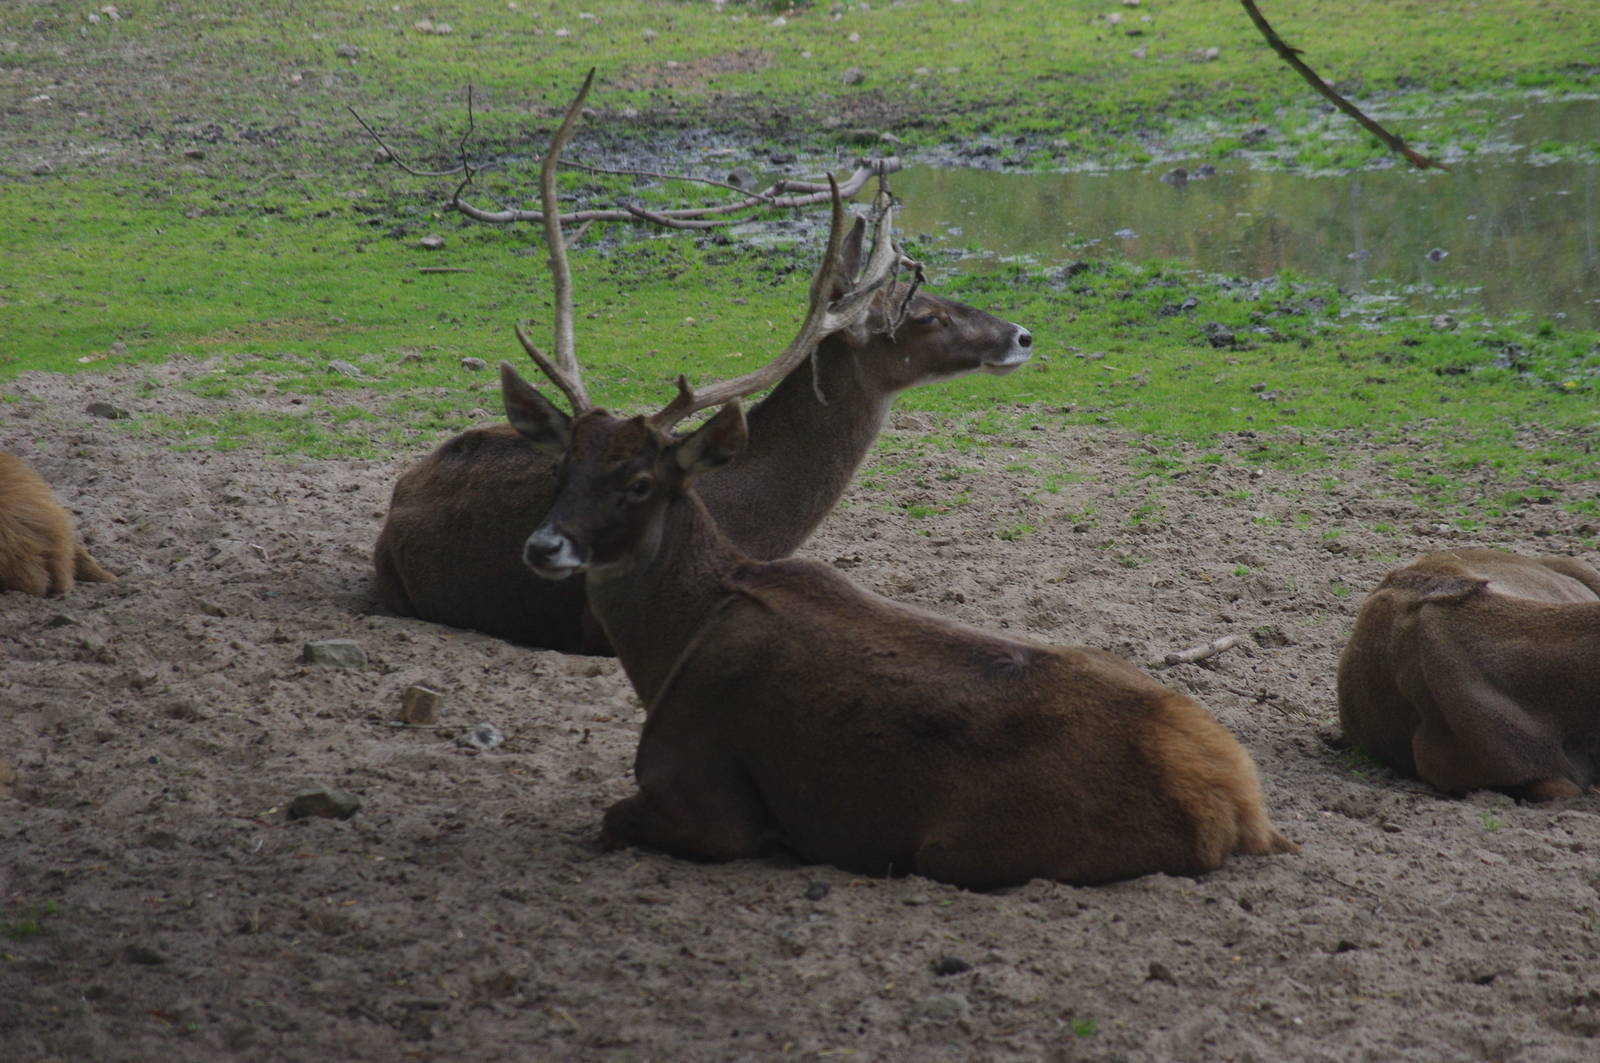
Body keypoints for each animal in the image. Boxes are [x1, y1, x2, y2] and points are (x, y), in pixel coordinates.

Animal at [485, 73, 1297, 888]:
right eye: (563, 464)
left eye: (641, 481)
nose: (543, 546)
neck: (672, 646)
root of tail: (1242, 809)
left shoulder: (707, 794)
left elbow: (615, 819)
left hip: (967, 847)